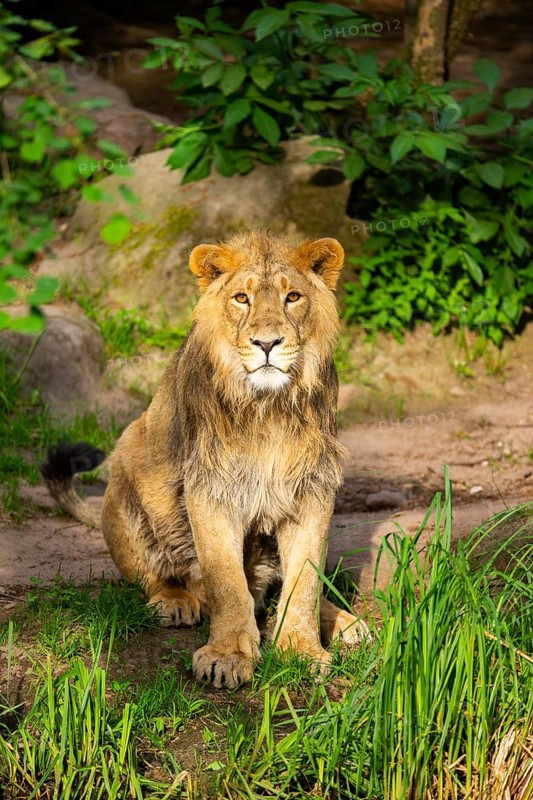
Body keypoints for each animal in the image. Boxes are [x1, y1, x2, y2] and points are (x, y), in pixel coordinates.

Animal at [42, 230, 369, 689]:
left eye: (292, 297)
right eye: (241, 299)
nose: (267, 343)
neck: (267, 407)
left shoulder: (312, 486)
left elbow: (305, 579)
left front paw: (302, 649)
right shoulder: (211, 487)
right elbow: (226, 581)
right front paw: (228, 655)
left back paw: (344, 621)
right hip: (125, 473)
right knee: (159, 576)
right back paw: (175, 601)